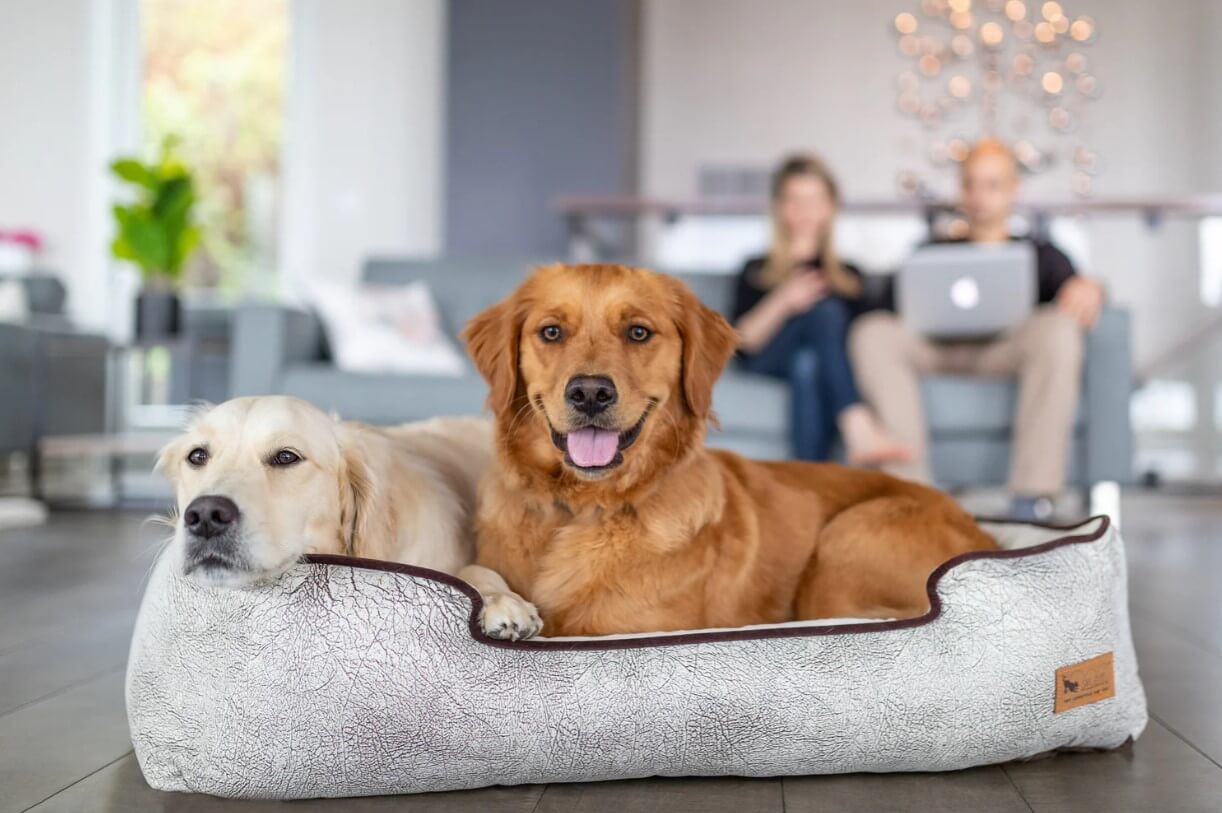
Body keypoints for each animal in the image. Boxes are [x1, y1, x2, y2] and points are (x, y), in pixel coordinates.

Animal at [461, 262, 997, 635]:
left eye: (638, 332)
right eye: (551, 331)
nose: (590, 392)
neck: (582, 506)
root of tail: (985, 534)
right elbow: (472, 569)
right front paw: (504, 605)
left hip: (849, 540)